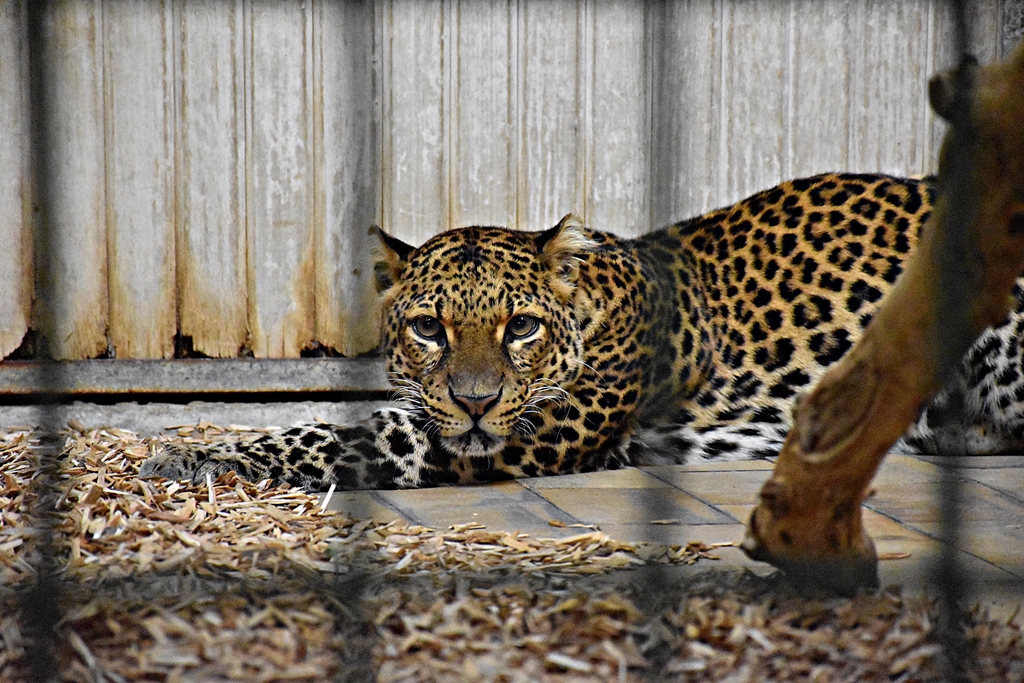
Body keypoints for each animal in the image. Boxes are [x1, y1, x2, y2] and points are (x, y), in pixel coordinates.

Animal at [141, 172, 1024, 492]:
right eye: (428, 328)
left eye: (521, 326)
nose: (473, 402)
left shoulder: (526, 430)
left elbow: (331, 435)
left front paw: (195, 455)